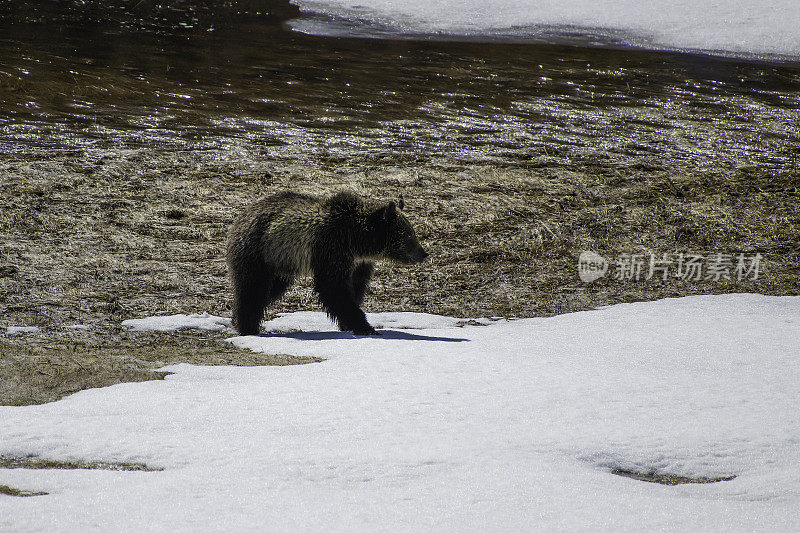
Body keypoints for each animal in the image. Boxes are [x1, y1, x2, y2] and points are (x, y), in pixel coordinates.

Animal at [228, 189, 428, 334]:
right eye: (409, 235)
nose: (423, 253)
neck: (357, 241)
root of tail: (242, 215)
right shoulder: (331, 248)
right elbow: (333, 287)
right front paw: (365, 327)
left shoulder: (359, 263)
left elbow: (355, 287)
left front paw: (350, 324)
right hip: (257, 251)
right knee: (253, 289)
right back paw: (248, 327)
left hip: (279, 262)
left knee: (269, 291)